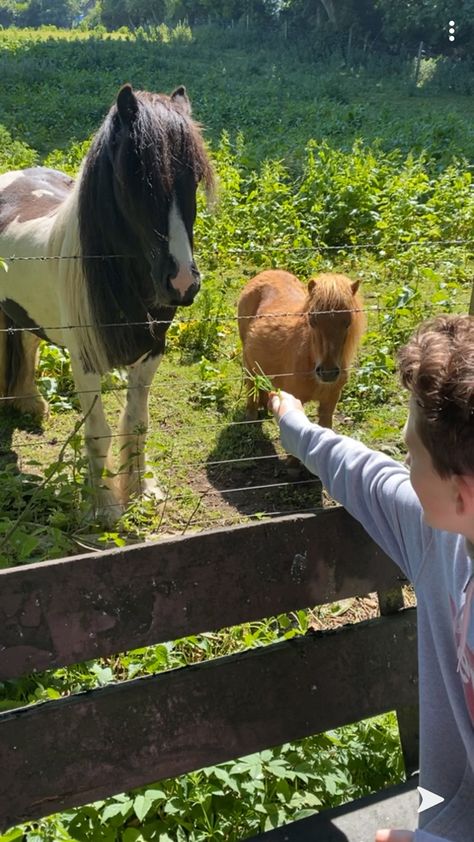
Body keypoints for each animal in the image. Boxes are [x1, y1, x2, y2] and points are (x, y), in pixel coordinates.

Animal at [0, 83, 213, 520]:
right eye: (136, 177)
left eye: (195, 177)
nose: (183, 283)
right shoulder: (84, 359)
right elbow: (97, 432)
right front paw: (104, 508)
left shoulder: (152, 351)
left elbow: (138, 421)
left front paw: (140, 491)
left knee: (26, 339)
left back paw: (29, 403)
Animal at [239, 270, 364, 426]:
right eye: (312, 321)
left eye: (348, 322)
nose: (327, 373)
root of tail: (267, 272)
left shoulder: (329, 403)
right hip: (247, 361)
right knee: (251, 382)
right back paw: (251, 416)